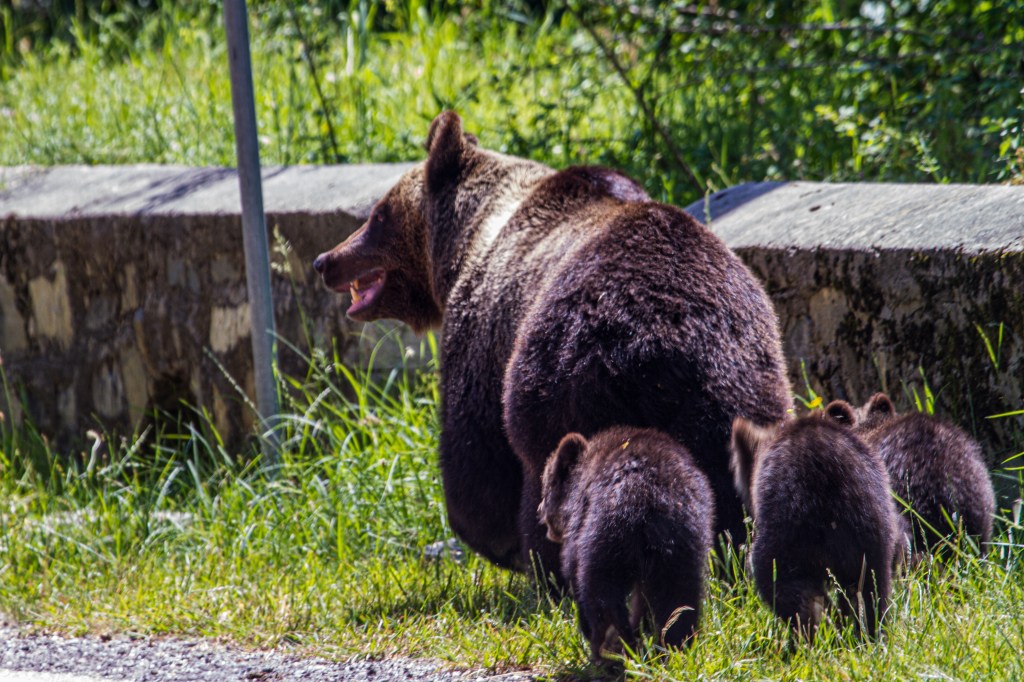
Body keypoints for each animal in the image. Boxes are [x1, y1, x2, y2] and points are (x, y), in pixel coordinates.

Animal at [313, 111, 792, 575]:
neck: (472, 237)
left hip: (563, 372)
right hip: (740, 378)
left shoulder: (484, 332)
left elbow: (476, 461)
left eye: (378, 215)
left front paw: (495, 542)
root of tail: (661, 339)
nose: (325, 260)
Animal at [538, 427, 715, 662]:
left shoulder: (579, 527)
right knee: (679, 596)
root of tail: (649, 498)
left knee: (601, 591)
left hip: (605, 536)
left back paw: (607, 646)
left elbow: (574, 571)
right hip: (683, 542)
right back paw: (674, 645)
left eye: (546, 486)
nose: (540, 509)